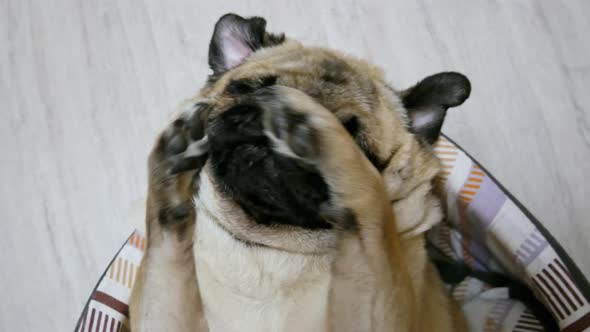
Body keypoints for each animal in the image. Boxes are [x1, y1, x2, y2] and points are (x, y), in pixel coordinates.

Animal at [130, 13, 472, 332]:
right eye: (246, 89)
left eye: (359, 144)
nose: (270, 118)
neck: (266, 249)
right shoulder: (163, 314)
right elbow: (167, 251)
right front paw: (174, 162)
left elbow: (370, 201)